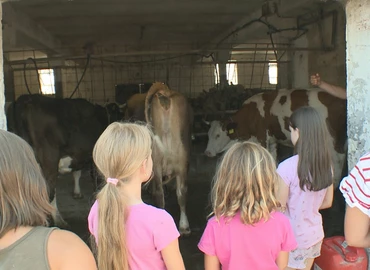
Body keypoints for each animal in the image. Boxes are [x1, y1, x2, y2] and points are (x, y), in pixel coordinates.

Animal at [6, 94, 120, 225]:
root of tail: (23, 100)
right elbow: (97, 178)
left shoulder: (78, 154)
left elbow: (77, 173)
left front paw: (77, 192)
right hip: (49, 159)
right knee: (47, 192)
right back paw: (55, 220)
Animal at [145, 82, 194, 236]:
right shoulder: (182, 165)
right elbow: (181, 193)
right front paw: (184, 226)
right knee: (179, 193)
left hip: (157, 164)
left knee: (159, 194)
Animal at [205, 88, 346, 186]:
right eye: (208, 135)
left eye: (218, 135)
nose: (207, 152)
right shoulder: (272, 141)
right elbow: (272, 159)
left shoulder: (262, 137)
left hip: (330, 139)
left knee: (338, 160)